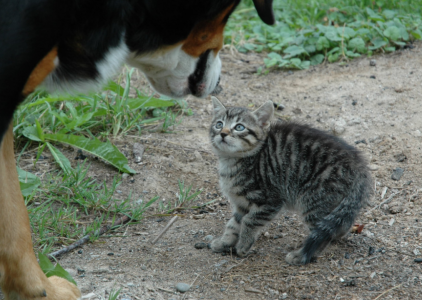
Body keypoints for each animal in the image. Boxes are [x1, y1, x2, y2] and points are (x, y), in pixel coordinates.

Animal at [209, 97, 370, 264]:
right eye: (219, 124)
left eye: (239, 127)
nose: (223, 133)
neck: (232, 161)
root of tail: (358, 165)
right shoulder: (241, 204)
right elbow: (233, 224)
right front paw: (224, 242)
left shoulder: (271, 200)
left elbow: (249, 220)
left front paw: (243, 245)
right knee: (339, 225)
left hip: (314, 200)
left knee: (322, 233)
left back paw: (300, 256)